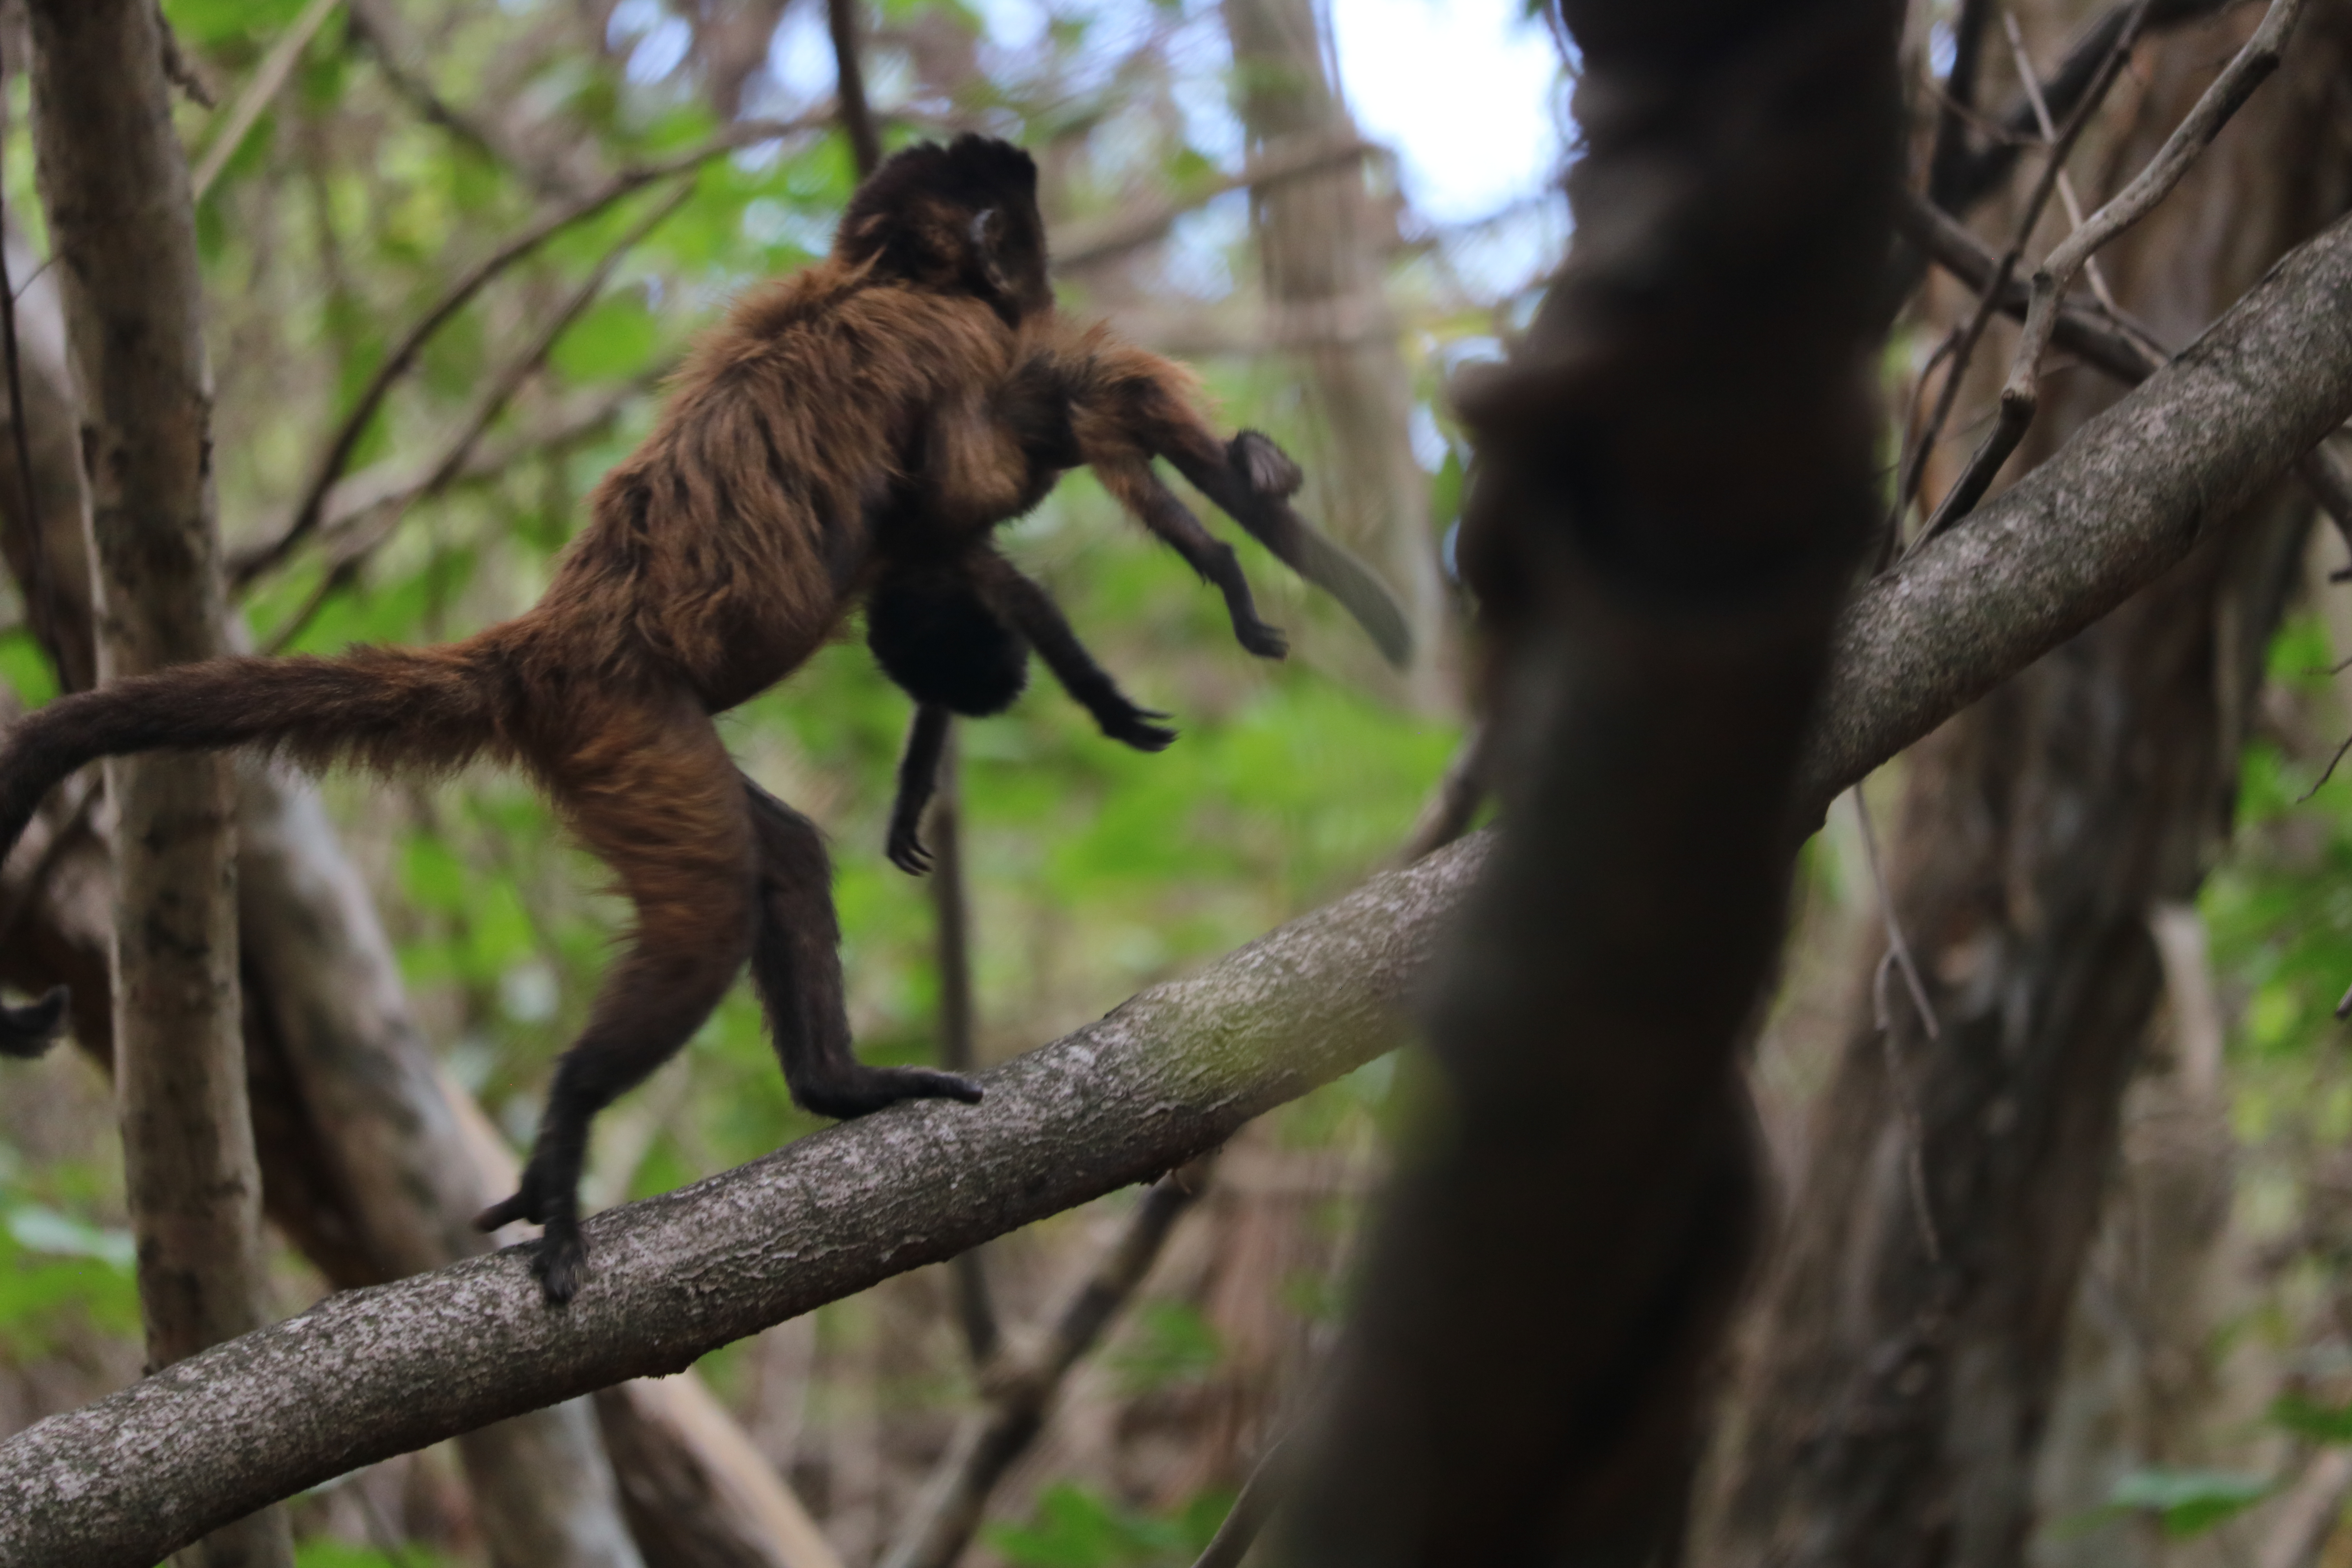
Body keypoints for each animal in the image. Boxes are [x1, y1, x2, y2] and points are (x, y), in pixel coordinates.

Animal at [0, 135, 1402, 1298]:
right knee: (716, 894)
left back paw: (835, 1085)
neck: (884, 276)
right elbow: (966, 492)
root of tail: (547, 638)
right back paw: (575, 1115)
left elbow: (939, 544)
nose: (1027, 251)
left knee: (776, 852)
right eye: (1010, 221)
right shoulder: (951, 345)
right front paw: (1183, 588)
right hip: (629, 727)